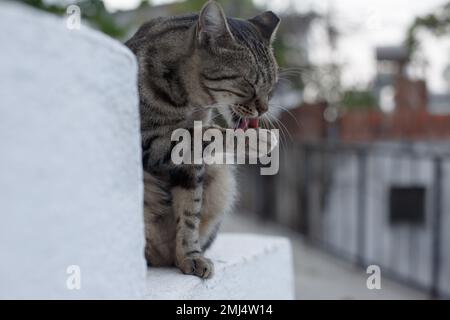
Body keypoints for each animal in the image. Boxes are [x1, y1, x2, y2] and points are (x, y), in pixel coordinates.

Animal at [125, 0, 280, 278]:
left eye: (271, 87)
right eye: (249, 84)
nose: (263, 109)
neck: (190, 102)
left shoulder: (191, 166)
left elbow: (189, 213)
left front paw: (190, 257)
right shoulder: (147, 140)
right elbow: (205, 133)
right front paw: (256, 140)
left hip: (221, 175)